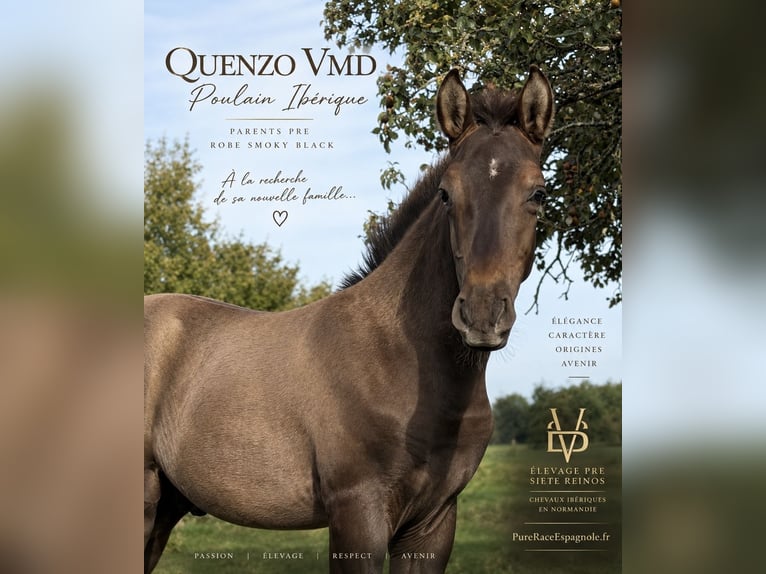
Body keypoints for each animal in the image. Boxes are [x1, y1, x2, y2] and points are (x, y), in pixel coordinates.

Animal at [144, 66, 554, 573]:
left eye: (539, 192)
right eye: (446, 193)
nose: (481, 315)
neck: (396, 360)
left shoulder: (434, 522)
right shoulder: (357, 512)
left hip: (166, 504)